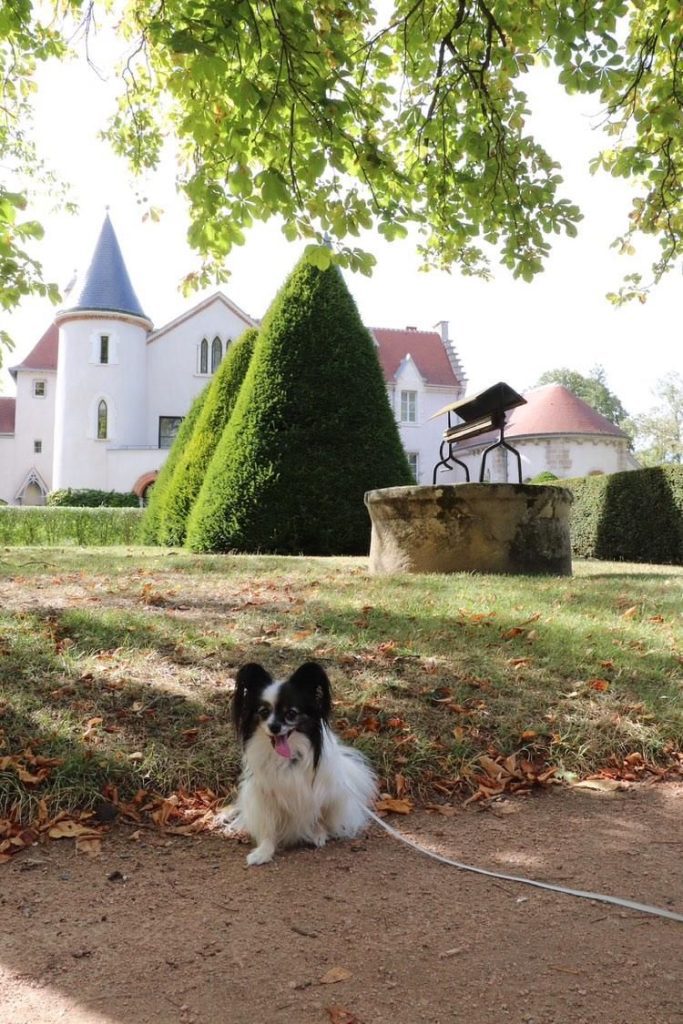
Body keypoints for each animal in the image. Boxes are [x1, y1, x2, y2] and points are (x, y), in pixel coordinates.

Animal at [220, 663, 376, 864]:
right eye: (264, 712)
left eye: (291, 714)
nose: (274, 727)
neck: (287, 758)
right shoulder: (265, 797)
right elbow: (268, 828)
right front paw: (263, 852)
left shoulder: (318, 793)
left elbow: (317, 817)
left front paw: (318, 834)